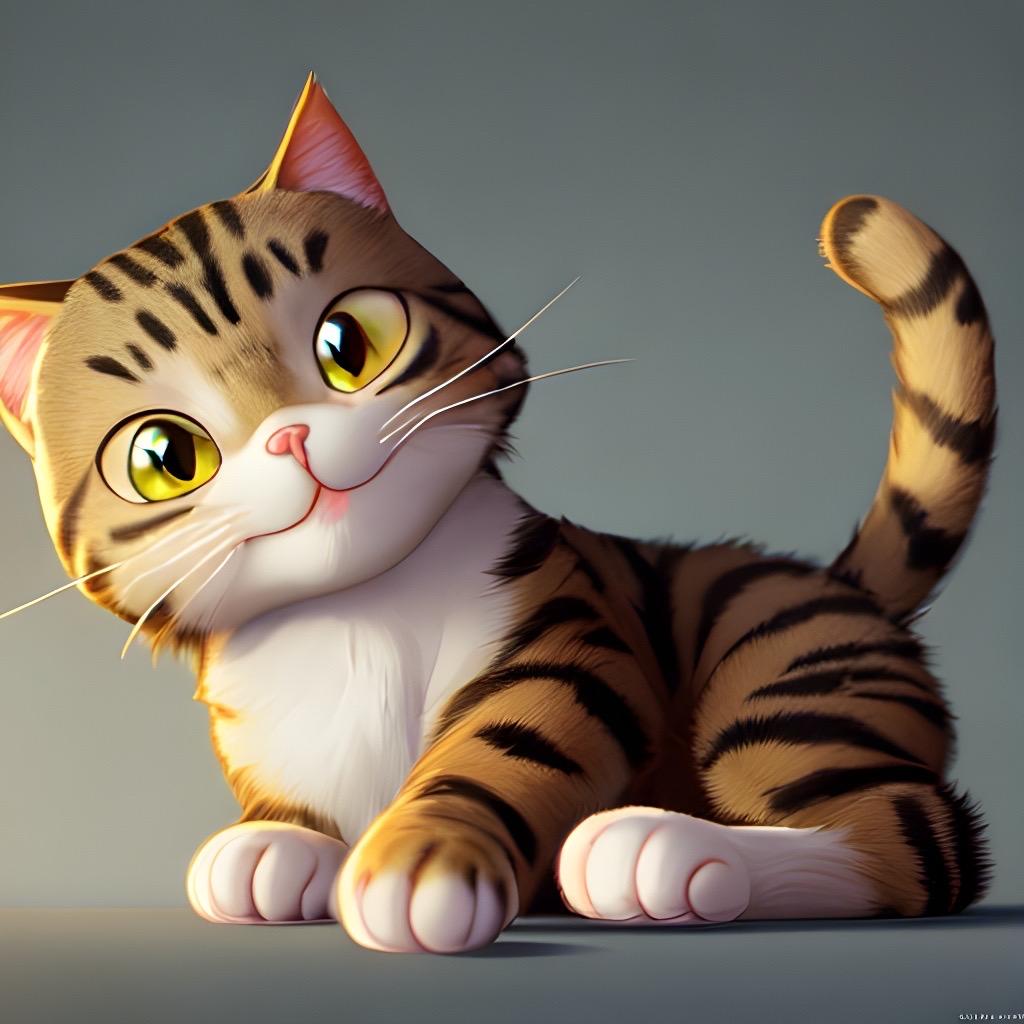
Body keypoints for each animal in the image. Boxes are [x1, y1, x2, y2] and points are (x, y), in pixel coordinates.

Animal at [0, 74, 992, 953]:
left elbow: (496, 757)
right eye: (167, 458)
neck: (353, 617)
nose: (290, 438)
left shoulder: (568, 651)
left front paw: (418, 861)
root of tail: (842, 582)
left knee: (917, 835)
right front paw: (275, 846)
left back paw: (658, 850)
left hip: (784, 676)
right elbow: (292, 813)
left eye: (348, 345)